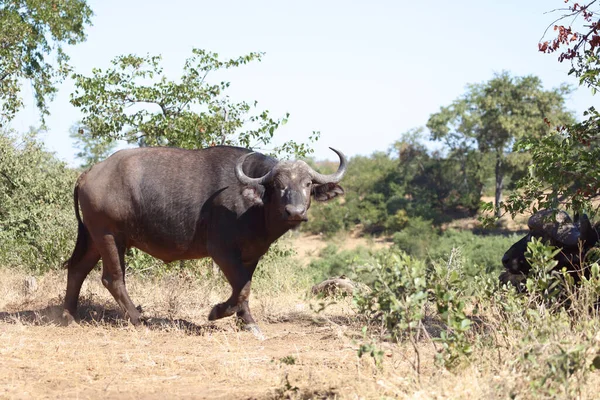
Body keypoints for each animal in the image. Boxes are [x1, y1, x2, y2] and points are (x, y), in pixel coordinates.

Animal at [62, 145, 344, 336]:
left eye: (307, 184)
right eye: (277, 184)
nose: (295, 212)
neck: (254, 206)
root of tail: (89, 173)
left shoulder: (252, 254)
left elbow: (244, 288)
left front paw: (248, 322)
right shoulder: (221, 252)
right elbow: (242, 287)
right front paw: (216, 312)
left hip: (93, 238)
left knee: (77, 269)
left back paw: (68, 315)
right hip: (108, 236)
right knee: (113, 279)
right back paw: (138, 319)